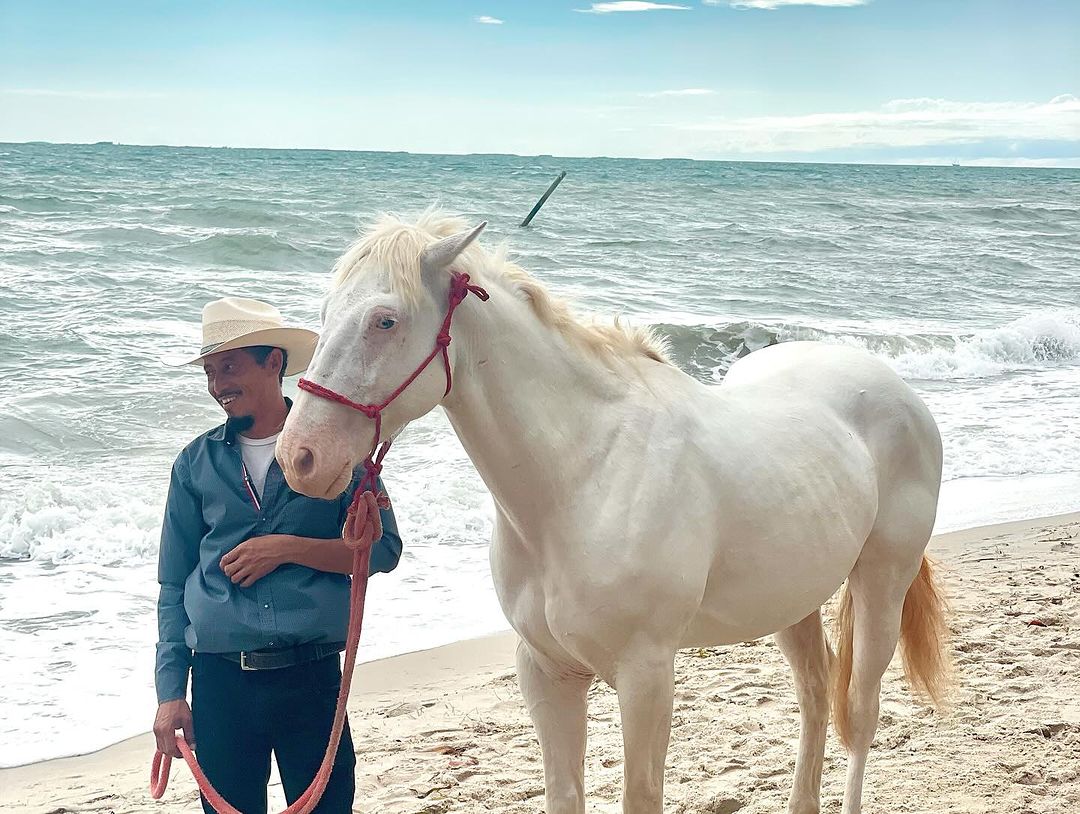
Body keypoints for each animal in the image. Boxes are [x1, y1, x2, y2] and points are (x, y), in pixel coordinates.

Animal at [277, 213, 950, 814]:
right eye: (325, 315)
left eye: (385, 319)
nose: (299, 457)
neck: (584, 476)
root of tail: (895, 387)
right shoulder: (546, 673)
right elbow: (563, 796)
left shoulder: (646, 675)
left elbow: (641, 796)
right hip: (792, 598)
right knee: (814, 693)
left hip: (881, 584)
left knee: (859, 710)